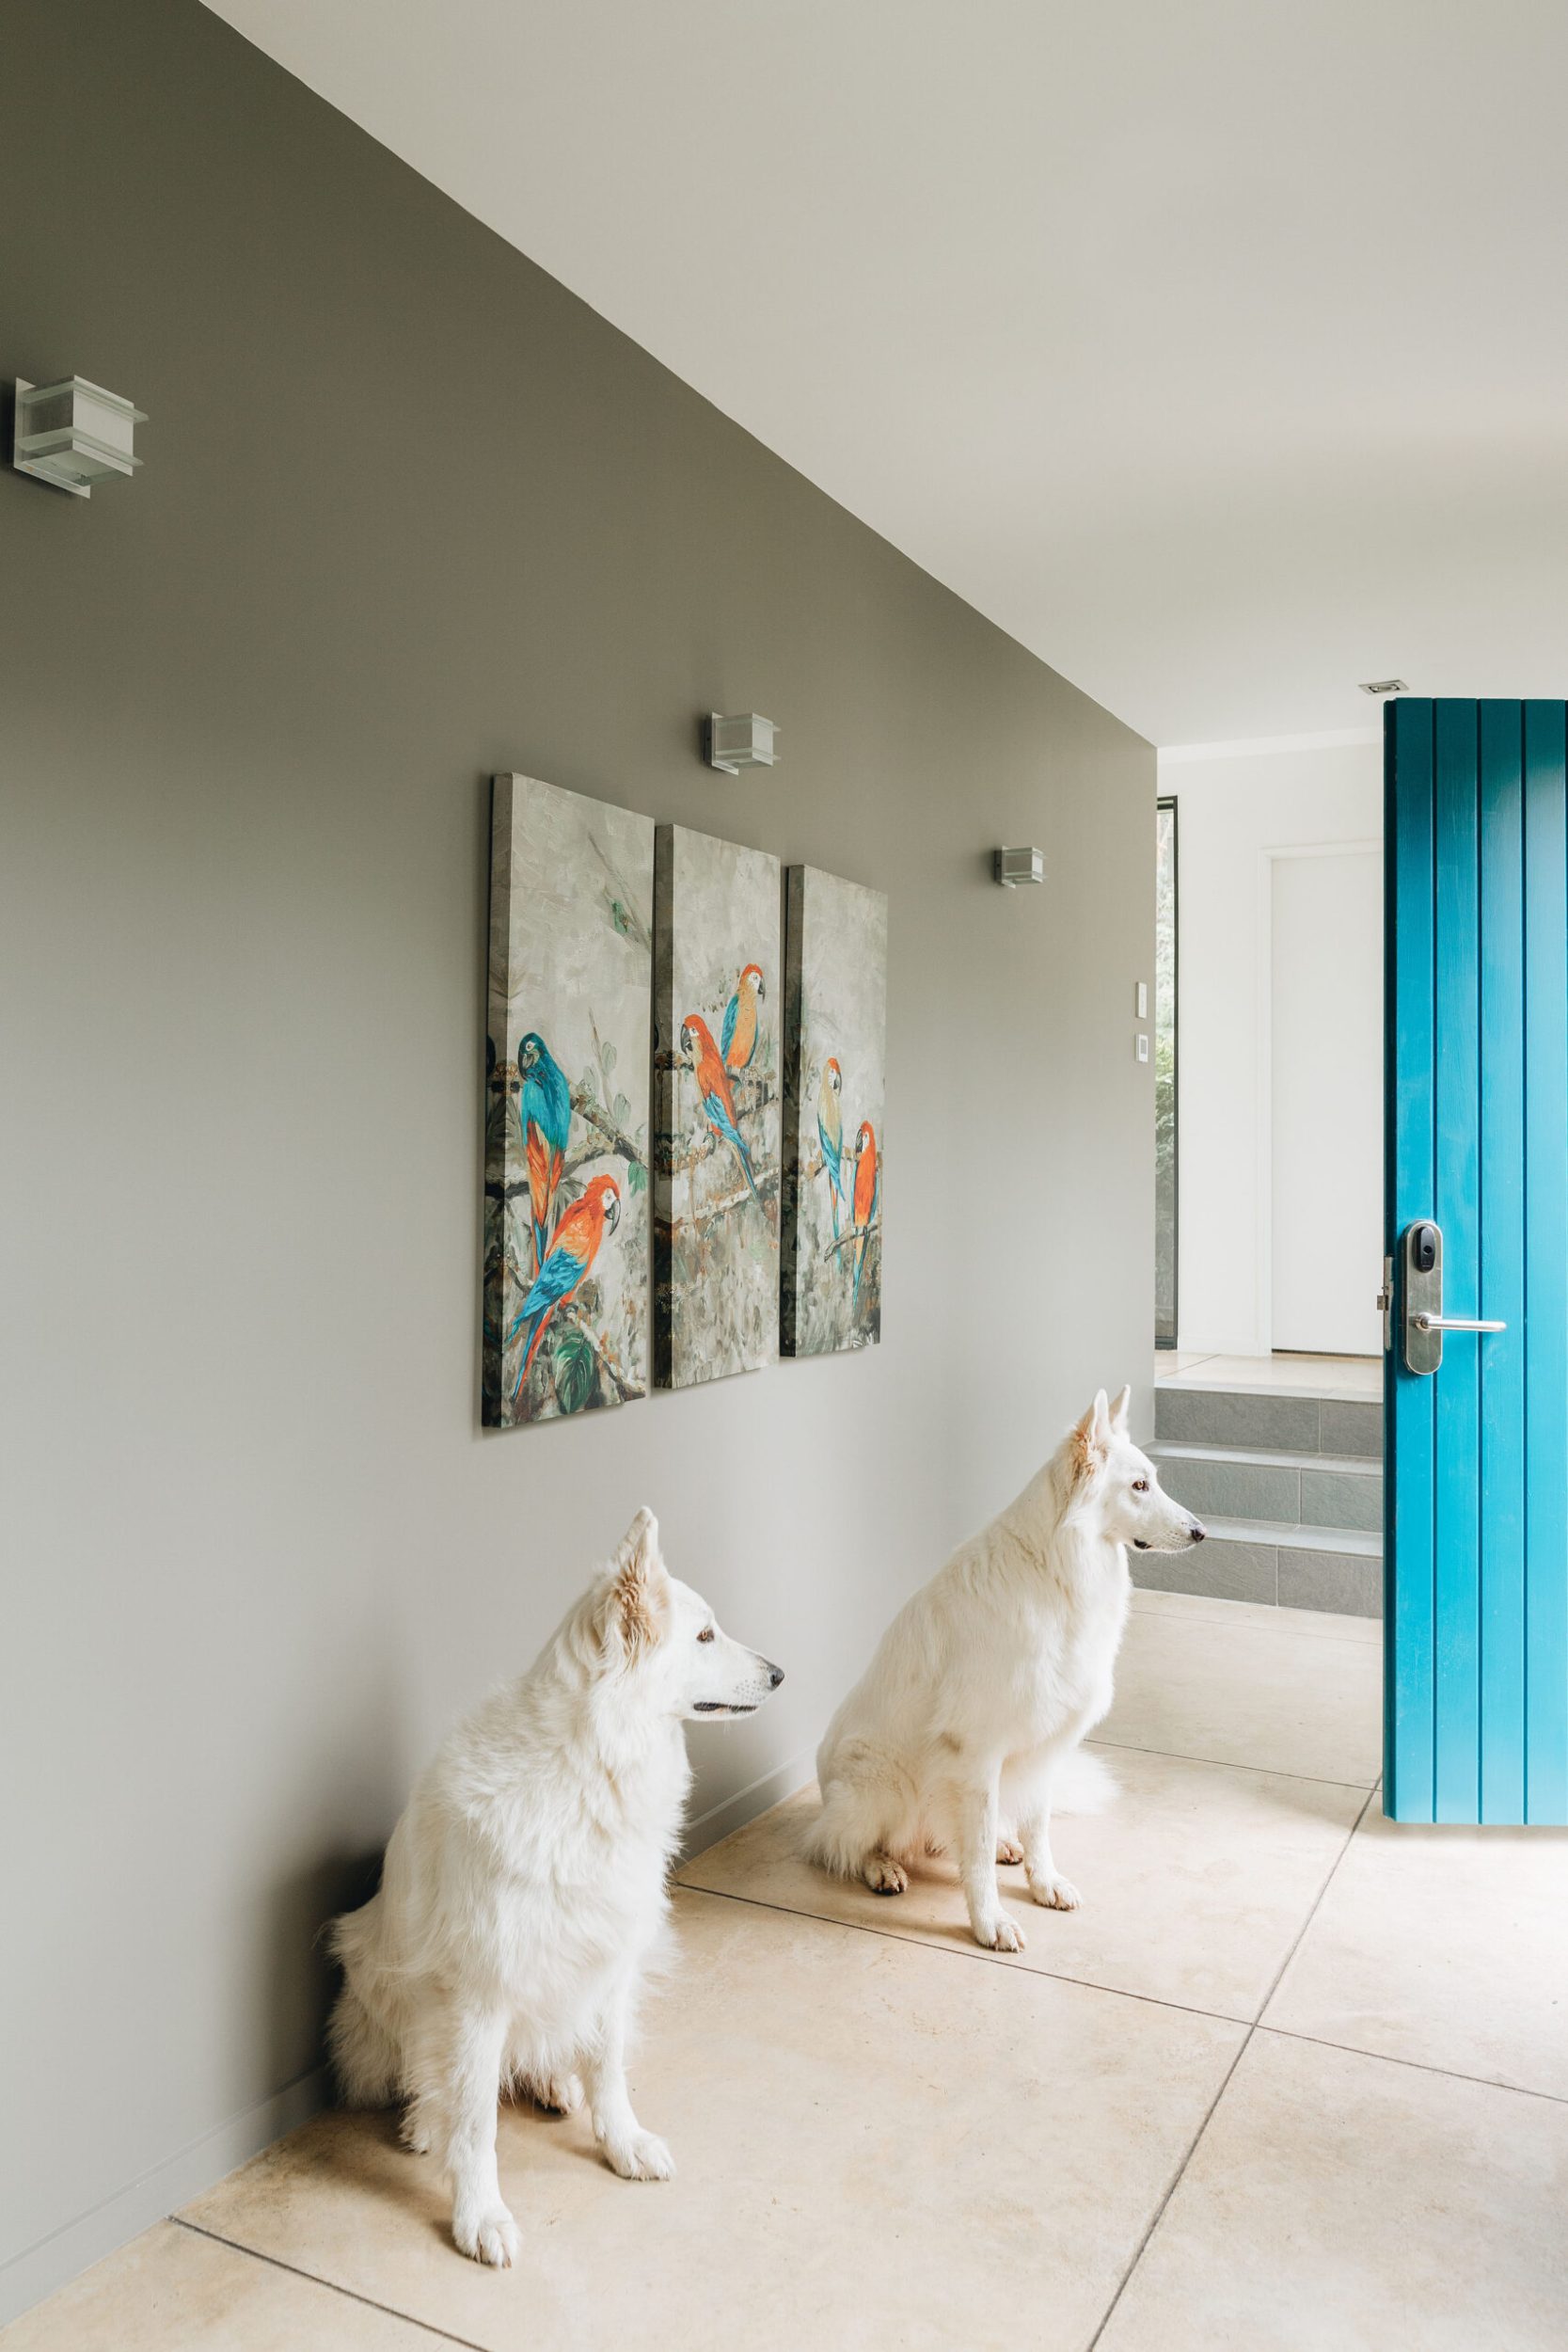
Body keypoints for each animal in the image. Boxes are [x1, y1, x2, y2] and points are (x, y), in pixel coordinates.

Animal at [326, 1505, 784, 2258]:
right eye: (704, 1635)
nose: (780, 1674)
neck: (586, 1767)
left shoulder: (609, 1958)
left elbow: (609, 2069)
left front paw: (621, 2142)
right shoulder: (478, 1995)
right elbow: (475, 2122)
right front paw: (478, 2214)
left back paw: (549, 2082)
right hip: (373, 1968)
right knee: (423, 2070)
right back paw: (426, 2121)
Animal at [803, 1383, 1212, 1957]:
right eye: (1139, 1486)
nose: (1201, 1532)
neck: (1052, 1568)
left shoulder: (1041, 1746)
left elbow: (1036, 1828)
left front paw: (1044, 1883)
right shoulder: (976, 1753)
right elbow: (972, 1853)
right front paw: (989, 1921)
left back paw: (1001, 1842)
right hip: (880, 1782)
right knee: (837, 1842)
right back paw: (880, 1866)